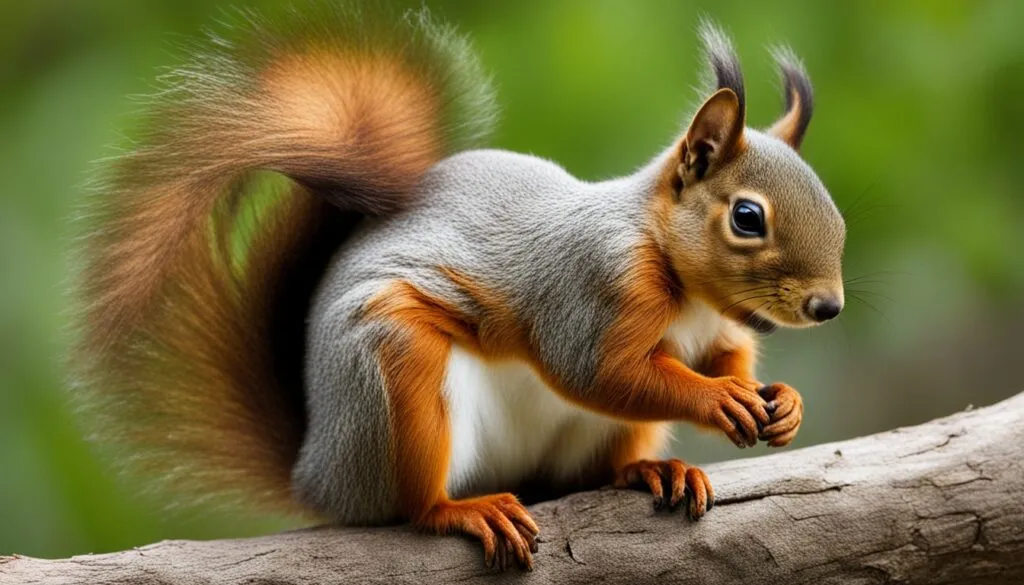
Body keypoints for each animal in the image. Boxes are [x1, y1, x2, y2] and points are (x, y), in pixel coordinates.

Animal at [70, 2, 845, 572]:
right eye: (747, 217)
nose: (827, 305)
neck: (686, 290)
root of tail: (315, 472)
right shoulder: (588, 289)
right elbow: (600, 371)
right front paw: (718, 400)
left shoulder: (718, 328)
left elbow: (724, 357)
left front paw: (785, 403)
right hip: (393, 375)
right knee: (412, 504)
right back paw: (460, 509)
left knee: (586, 474)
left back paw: (651, 472)